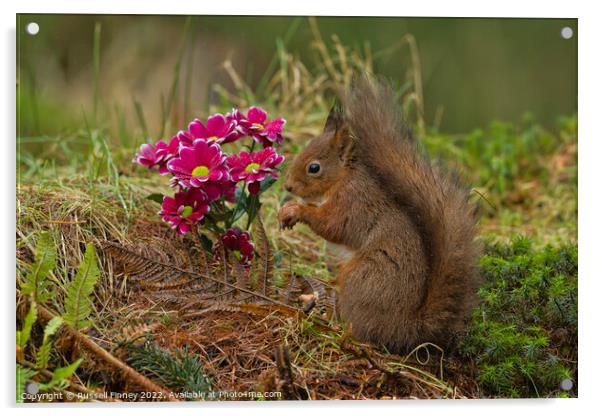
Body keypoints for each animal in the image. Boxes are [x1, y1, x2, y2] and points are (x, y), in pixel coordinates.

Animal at [276, 77, 478, 352]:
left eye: (314, 168)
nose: (288, 187)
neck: (343, 178)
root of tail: (405, 328)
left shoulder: (353, 203)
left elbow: (332, 225)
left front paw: (297, 210)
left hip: (362, 276)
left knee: (359, 328)